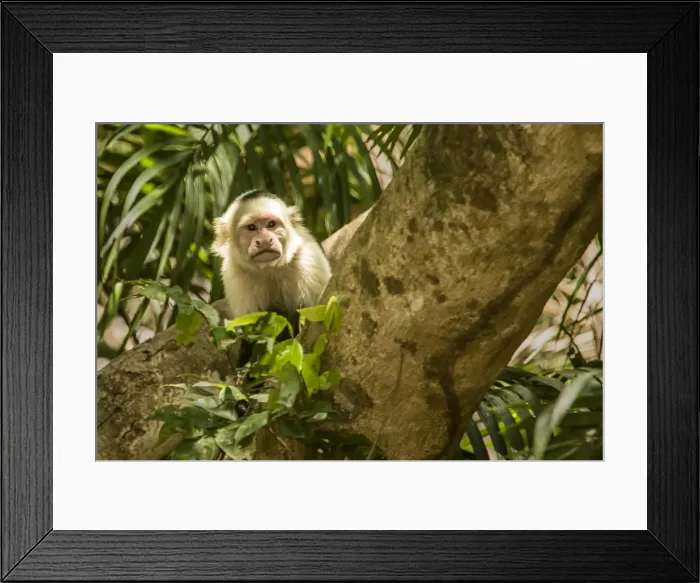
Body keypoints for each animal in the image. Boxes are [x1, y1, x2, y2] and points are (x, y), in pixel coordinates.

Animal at [211, 189, 332, 358]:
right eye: (251, 227)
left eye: (271, 225)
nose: (264, 240)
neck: (270, 269)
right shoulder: (233, 273)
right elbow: (251, 333)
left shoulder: (309, 259)